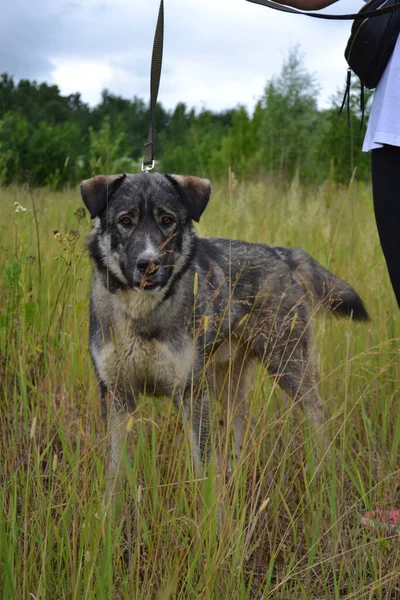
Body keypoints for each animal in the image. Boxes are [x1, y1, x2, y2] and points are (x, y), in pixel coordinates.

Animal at [79, 173, 370, 502]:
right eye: (125, 221)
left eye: (167, 220)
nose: (149, 264)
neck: (143, 313)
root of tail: (281, 254)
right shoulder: (118, 396)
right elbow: (115, 476)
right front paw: (108, 514)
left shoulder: (191, 393)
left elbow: (203, 468)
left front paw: (208, 513)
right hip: (226, 381)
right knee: (241, 422)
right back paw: (238, 475)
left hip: (288, 366)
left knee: (317, 412)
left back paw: (324, 471)